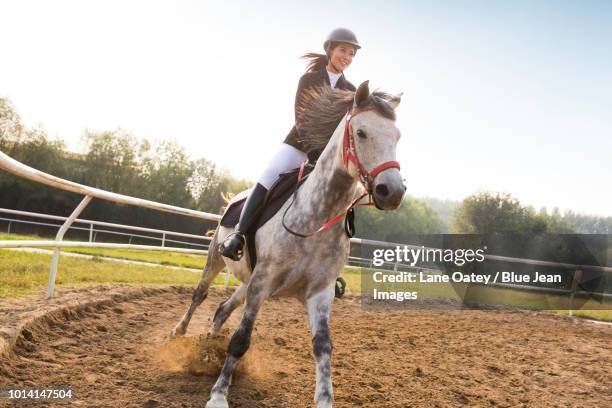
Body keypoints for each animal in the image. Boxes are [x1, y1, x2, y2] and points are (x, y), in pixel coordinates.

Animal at [170, 80, 404, 408]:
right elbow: (240, 339)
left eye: (397, 137)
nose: (392, 192)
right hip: (217, 260)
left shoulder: (319, 292)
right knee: (200, 295)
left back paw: (209, 346)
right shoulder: (262, 282)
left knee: (221, 309)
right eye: (361, 132)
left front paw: (324, 400)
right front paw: (218, 395)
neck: (316, 217)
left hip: (247, 281)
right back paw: (179, 333)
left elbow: (323, 347)